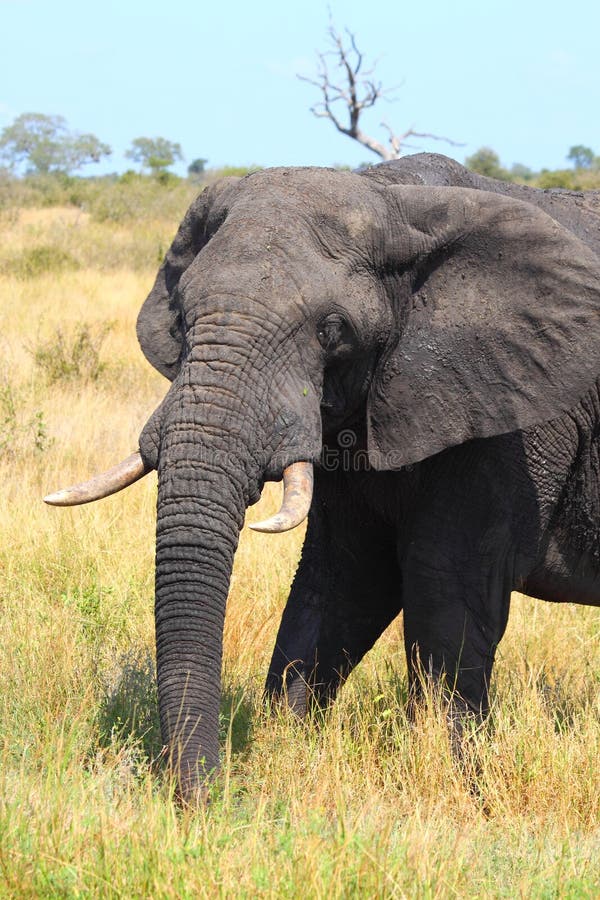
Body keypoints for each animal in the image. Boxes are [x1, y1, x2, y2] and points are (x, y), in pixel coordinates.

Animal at [45, 155, 600, 800]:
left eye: (333, 330)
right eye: (182, 317)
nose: (205, 799)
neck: (395, 200)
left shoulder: (514, 415)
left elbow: (445, 586)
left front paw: (459, 780)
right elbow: (343, 580)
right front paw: (287, 743)